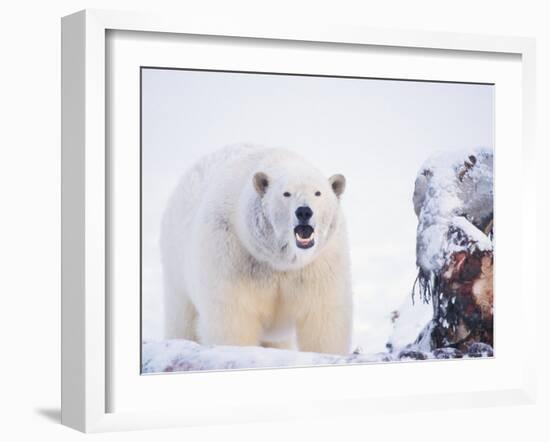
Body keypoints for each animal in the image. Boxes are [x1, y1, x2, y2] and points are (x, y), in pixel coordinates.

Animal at [160, 145, 354, 356]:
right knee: (182, 317)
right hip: (176, 263)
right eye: (286, 193)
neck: (278, 262)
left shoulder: (319, 266)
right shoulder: (231, 254)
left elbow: (323, 319)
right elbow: (233, 318)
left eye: (318, 193)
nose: (304, 211)